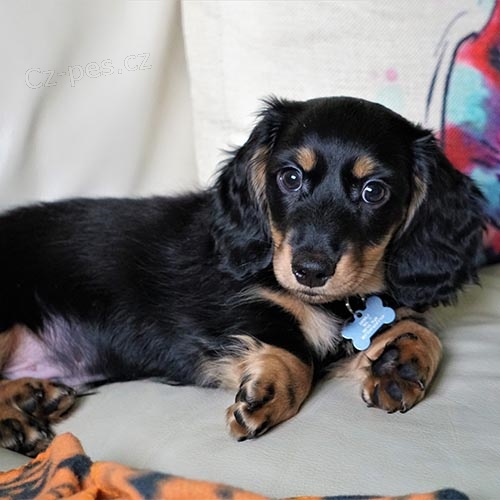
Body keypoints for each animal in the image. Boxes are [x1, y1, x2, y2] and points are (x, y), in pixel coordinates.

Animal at [0, 96, 485, 456]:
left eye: (374, 191)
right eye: (290, 178)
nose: (310, 271)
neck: (338, 303)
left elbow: (423, 329)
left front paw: (401, 364)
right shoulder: (225, 311)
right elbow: (296, 352)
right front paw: (266, 394)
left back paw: (32, 396)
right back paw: (16, 418)